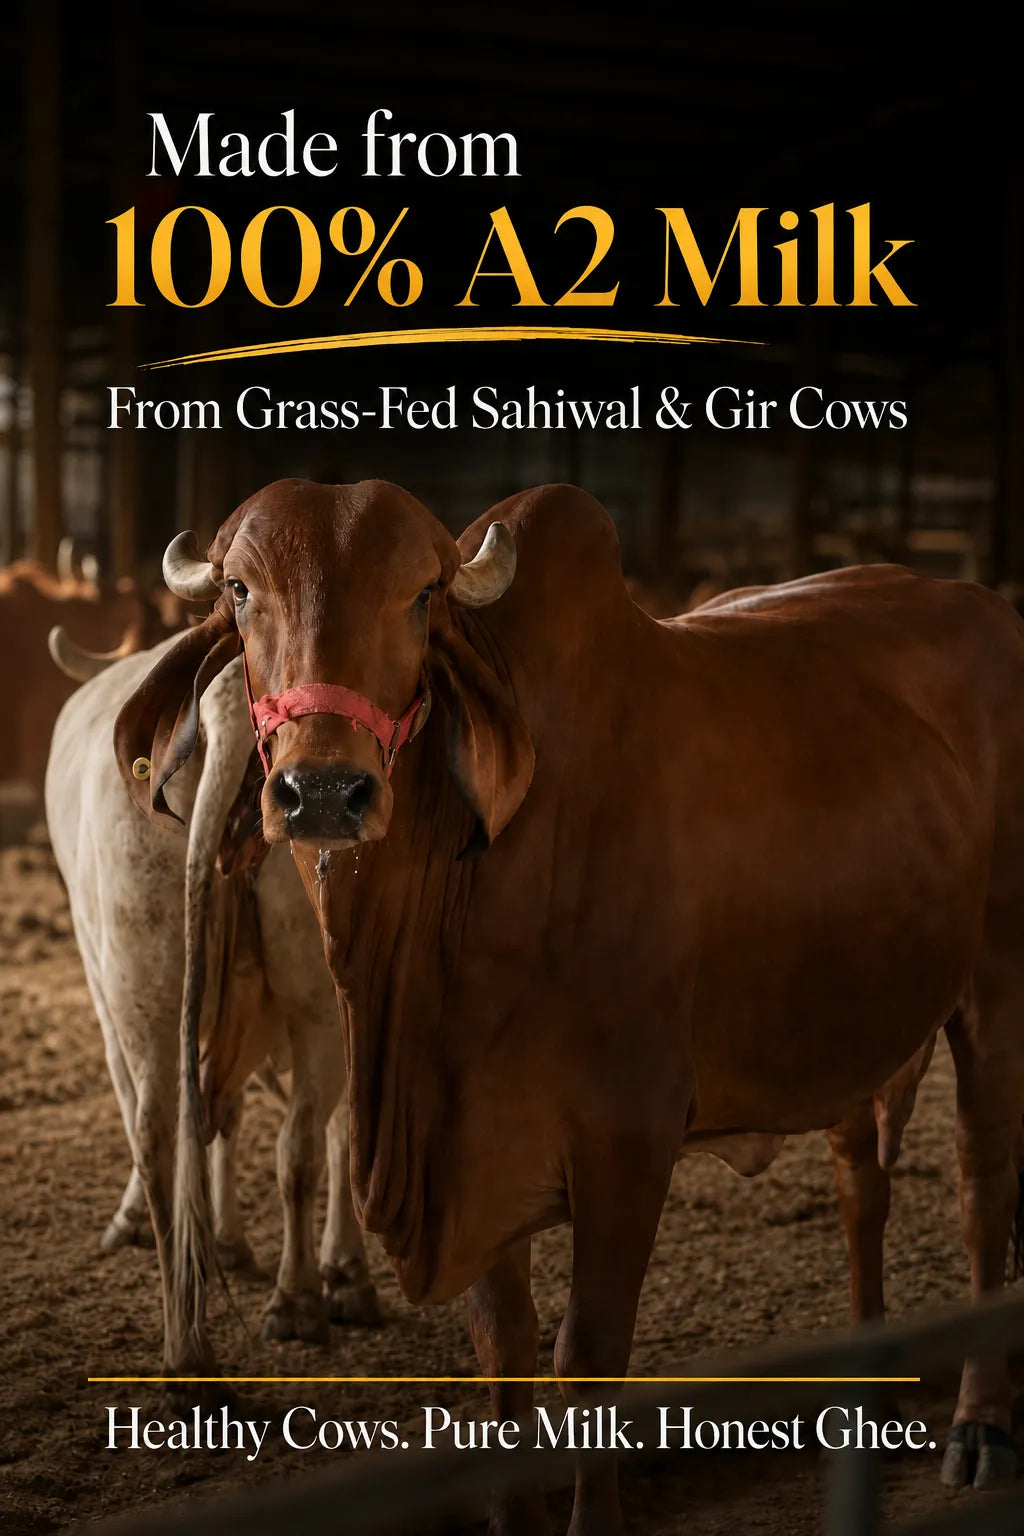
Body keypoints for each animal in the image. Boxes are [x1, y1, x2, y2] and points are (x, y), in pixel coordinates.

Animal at [46, 628, 380, 1372]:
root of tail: (224, 696)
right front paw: (341, 1271)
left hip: (141, 975)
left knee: (157, 1125)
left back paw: (187, 1342)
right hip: (312, 1000)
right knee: (297, 1145)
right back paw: (296, 1300)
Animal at [115, 478, 1024, 1531]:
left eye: (422, 595)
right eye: (240, 590)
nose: (326, 792)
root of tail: (989, 607)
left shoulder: (628, 1136)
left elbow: (587, 1354)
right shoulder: (464, 1146)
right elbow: (504, 1349)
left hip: (996, 984)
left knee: (981, 1189)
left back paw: (981, 1425)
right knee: (860, 1186)